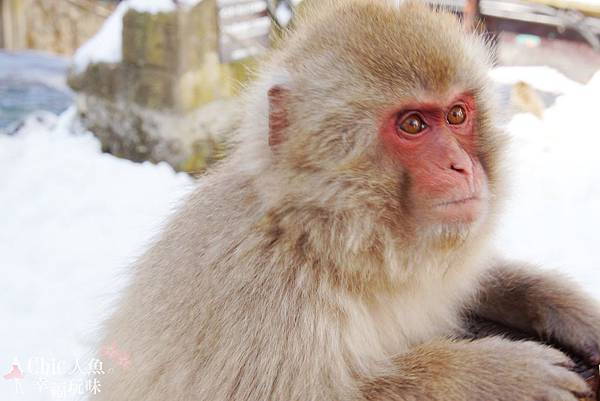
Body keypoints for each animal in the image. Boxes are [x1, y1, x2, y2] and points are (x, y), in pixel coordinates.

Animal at [95, 0, 600, 400]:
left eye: (457, 115)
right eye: (413, 124)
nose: (462, 166)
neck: (328, 238)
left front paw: (566, 306)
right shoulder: (262, 291)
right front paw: (496, 376)